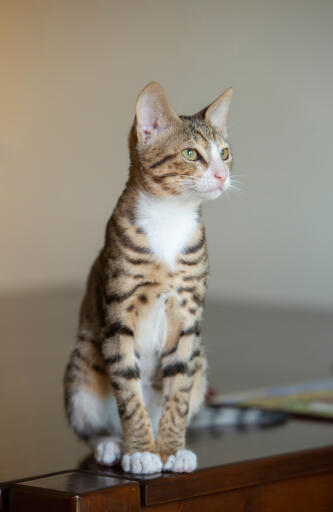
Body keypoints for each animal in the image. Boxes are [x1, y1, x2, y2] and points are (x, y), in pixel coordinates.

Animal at [63, 82, 232, 474]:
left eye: (225, 153)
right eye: (191, 154)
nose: (222, 175)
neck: (170, 219)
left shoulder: (187, 315)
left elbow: (179, 391)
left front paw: (171, 448)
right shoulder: (118, 315)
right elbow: (128, 390)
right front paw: (141, 451)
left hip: (201, 360)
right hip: (83, 361)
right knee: (93, 424)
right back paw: (113, 444)